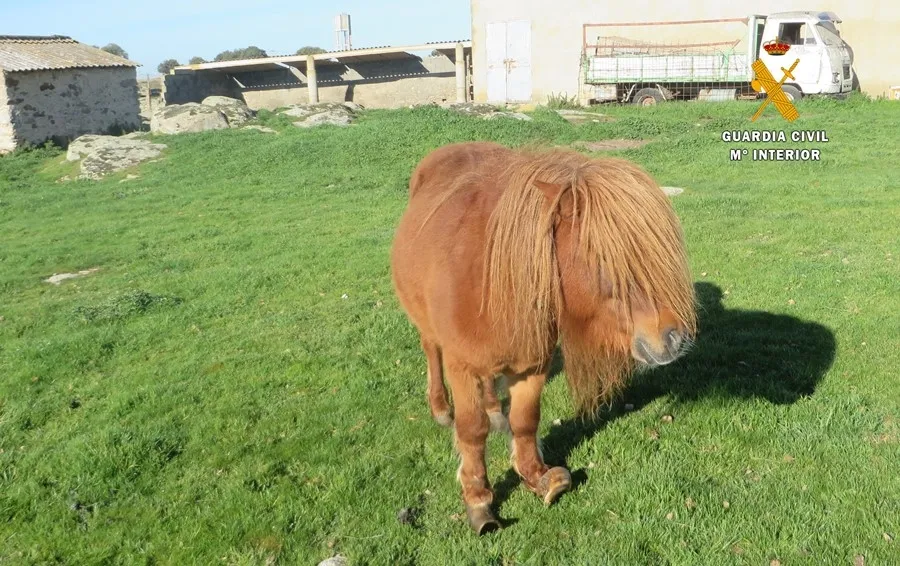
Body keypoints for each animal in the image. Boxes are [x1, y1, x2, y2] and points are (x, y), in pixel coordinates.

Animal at [389, 141, 697, 534]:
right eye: (606, 259)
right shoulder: (462, 368)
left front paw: (538, 478)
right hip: (426, 328)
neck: (495, 284)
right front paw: (479, 502)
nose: (673, 337)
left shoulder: (532, 365)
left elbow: (525, 421)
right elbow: (472, 432)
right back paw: (441, 409)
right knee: (431, 352)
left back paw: (495, 410)